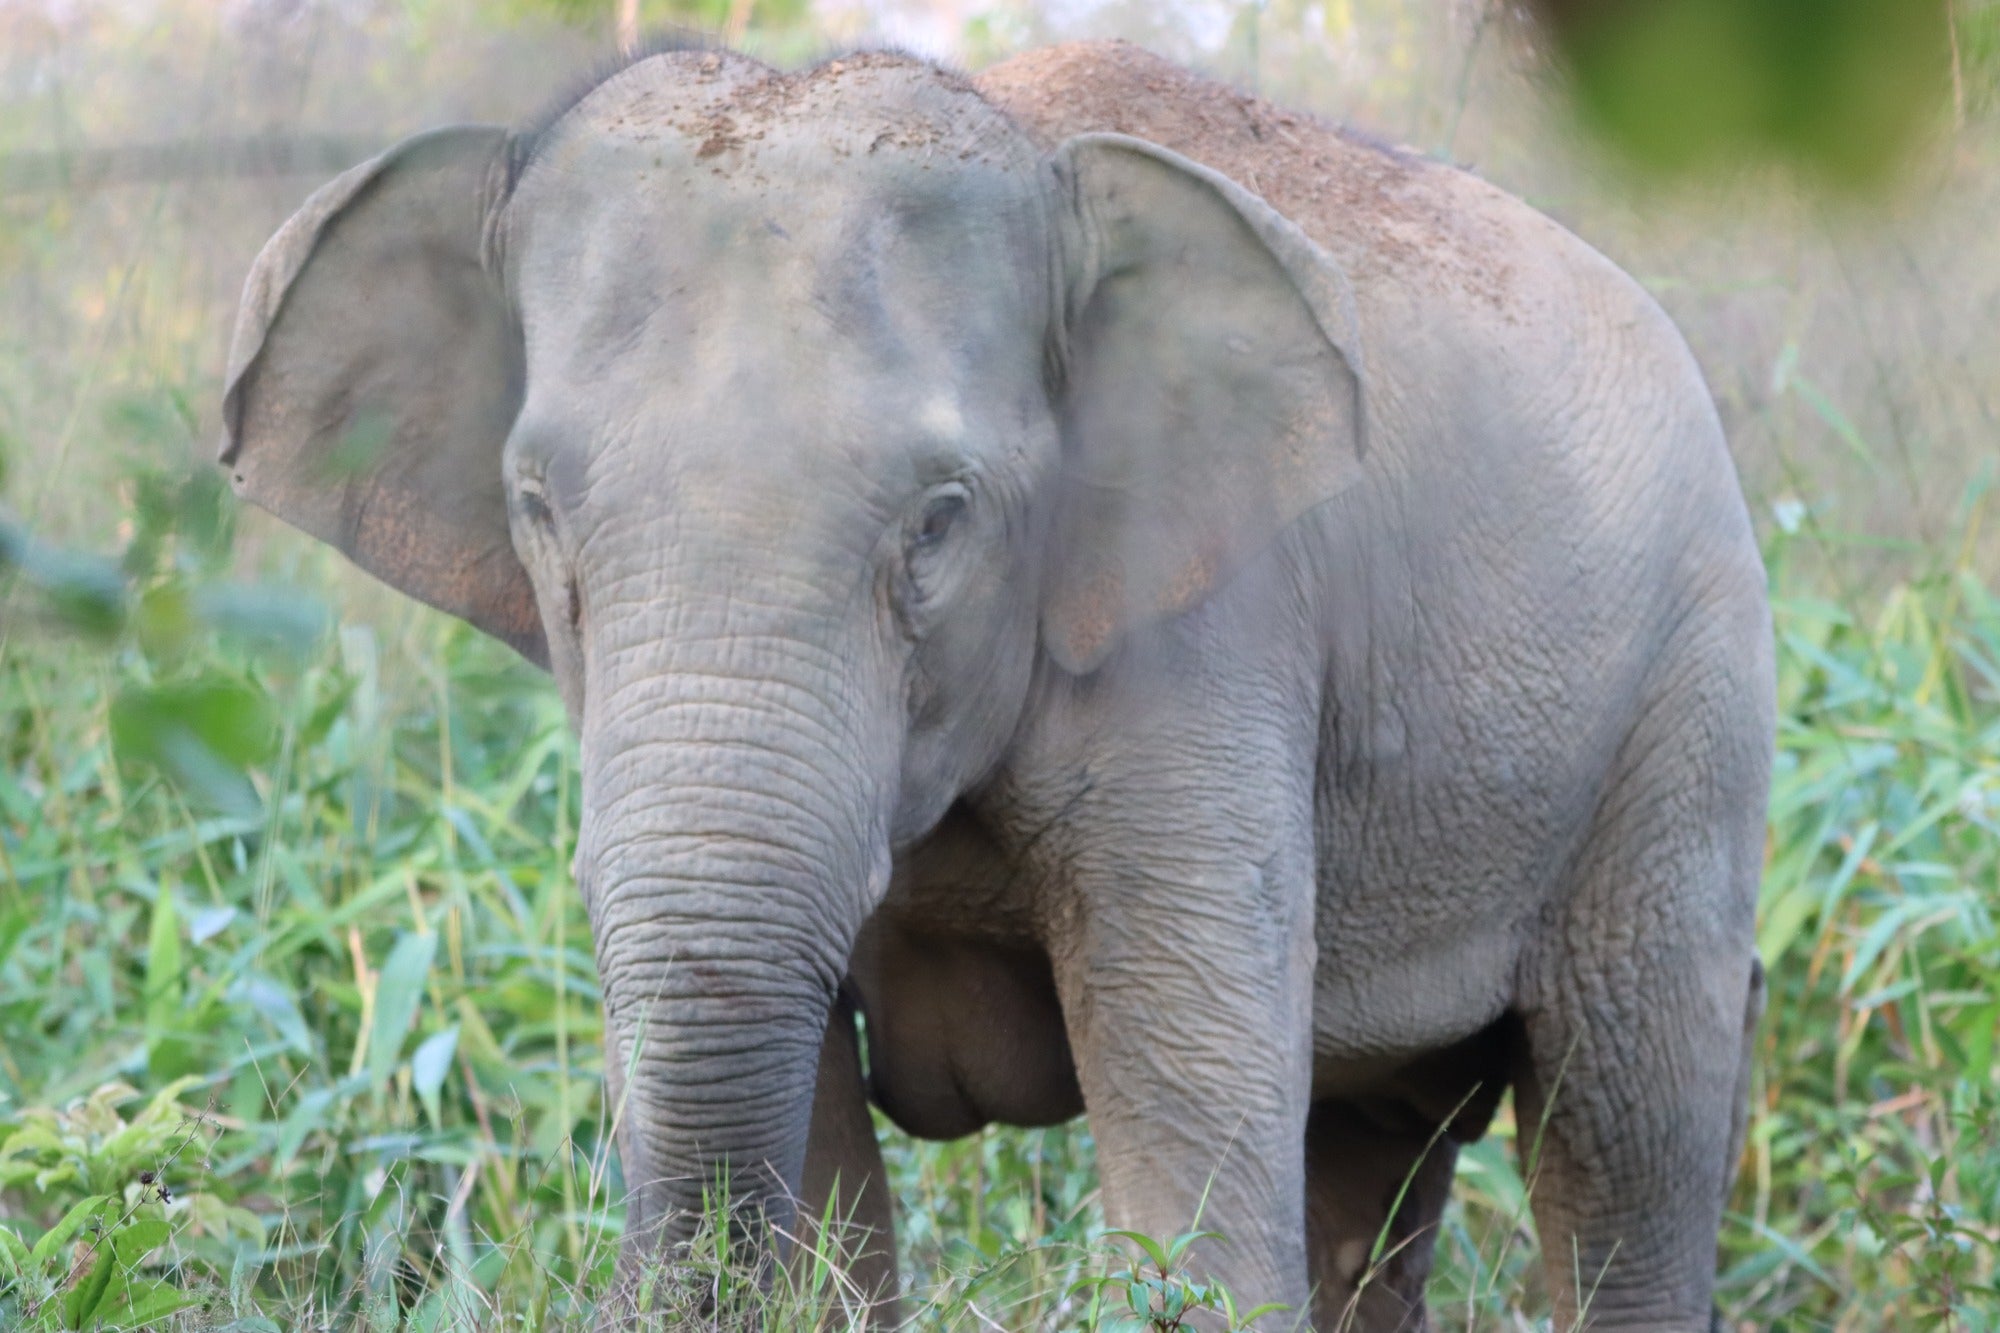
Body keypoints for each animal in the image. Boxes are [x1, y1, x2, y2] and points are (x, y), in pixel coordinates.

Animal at [218, 37, 1773, 1332]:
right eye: (535, 505)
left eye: (938, 519)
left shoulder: (1211, 641)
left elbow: (1191, 1144)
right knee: (1370, 1162)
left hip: (1685, 717)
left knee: (1628, 1134)